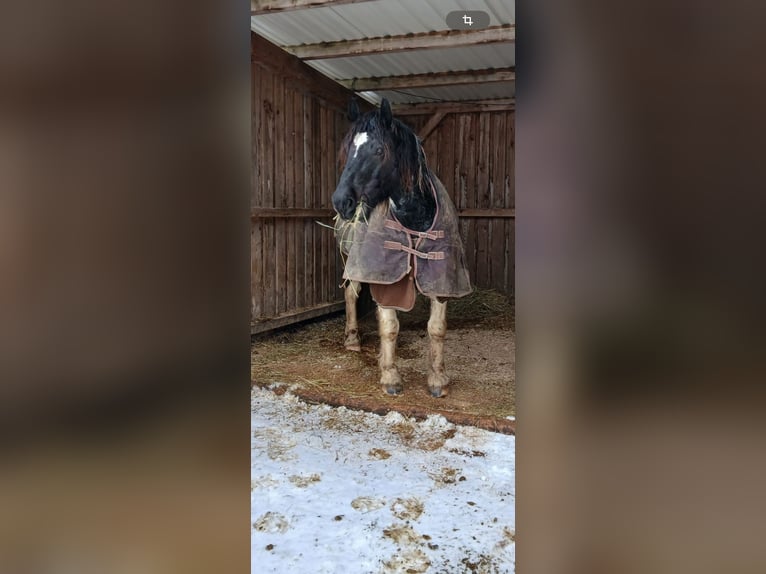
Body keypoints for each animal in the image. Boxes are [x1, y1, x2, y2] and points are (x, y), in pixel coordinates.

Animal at [331, 97, 472, 398]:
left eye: (378, 150)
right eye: (348, 150)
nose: (341, 202)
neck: (414, 218)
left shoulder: (440, 279)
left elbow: (437, 328)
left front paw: (437, 379)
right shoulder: (385, 277)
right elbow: (389, 327)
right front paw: (390, 377)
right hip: (351, 261)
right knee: (350, 294)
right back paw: (352, 339)